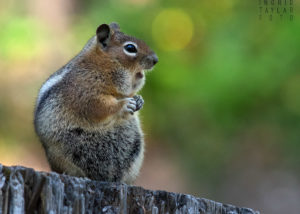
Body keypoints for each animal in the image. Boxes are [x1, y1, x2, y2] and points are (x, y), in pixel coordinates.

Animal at [34, 23, 158, 184]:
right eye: (130, 48)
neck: (100, 65)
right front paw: (124, 105)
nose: (155, 60)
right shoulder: (85, 93)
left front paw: (139, 100)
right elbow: (100, 107)